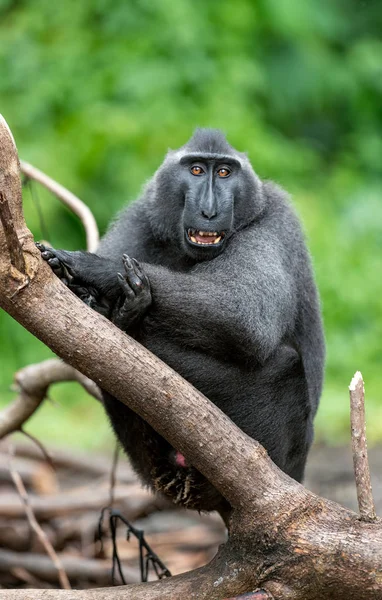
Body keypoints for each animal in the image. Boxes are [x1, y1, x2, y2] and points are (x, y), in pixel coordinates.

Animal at [38, 130, 326, 516]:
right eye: (195, 169)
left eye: (224, 172)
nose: (209, 209)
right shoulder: (140, 219)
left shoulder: (274, 219)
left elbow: (245, 316)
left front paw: (95, 270)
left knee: (285, 366)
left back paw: (125, 319)